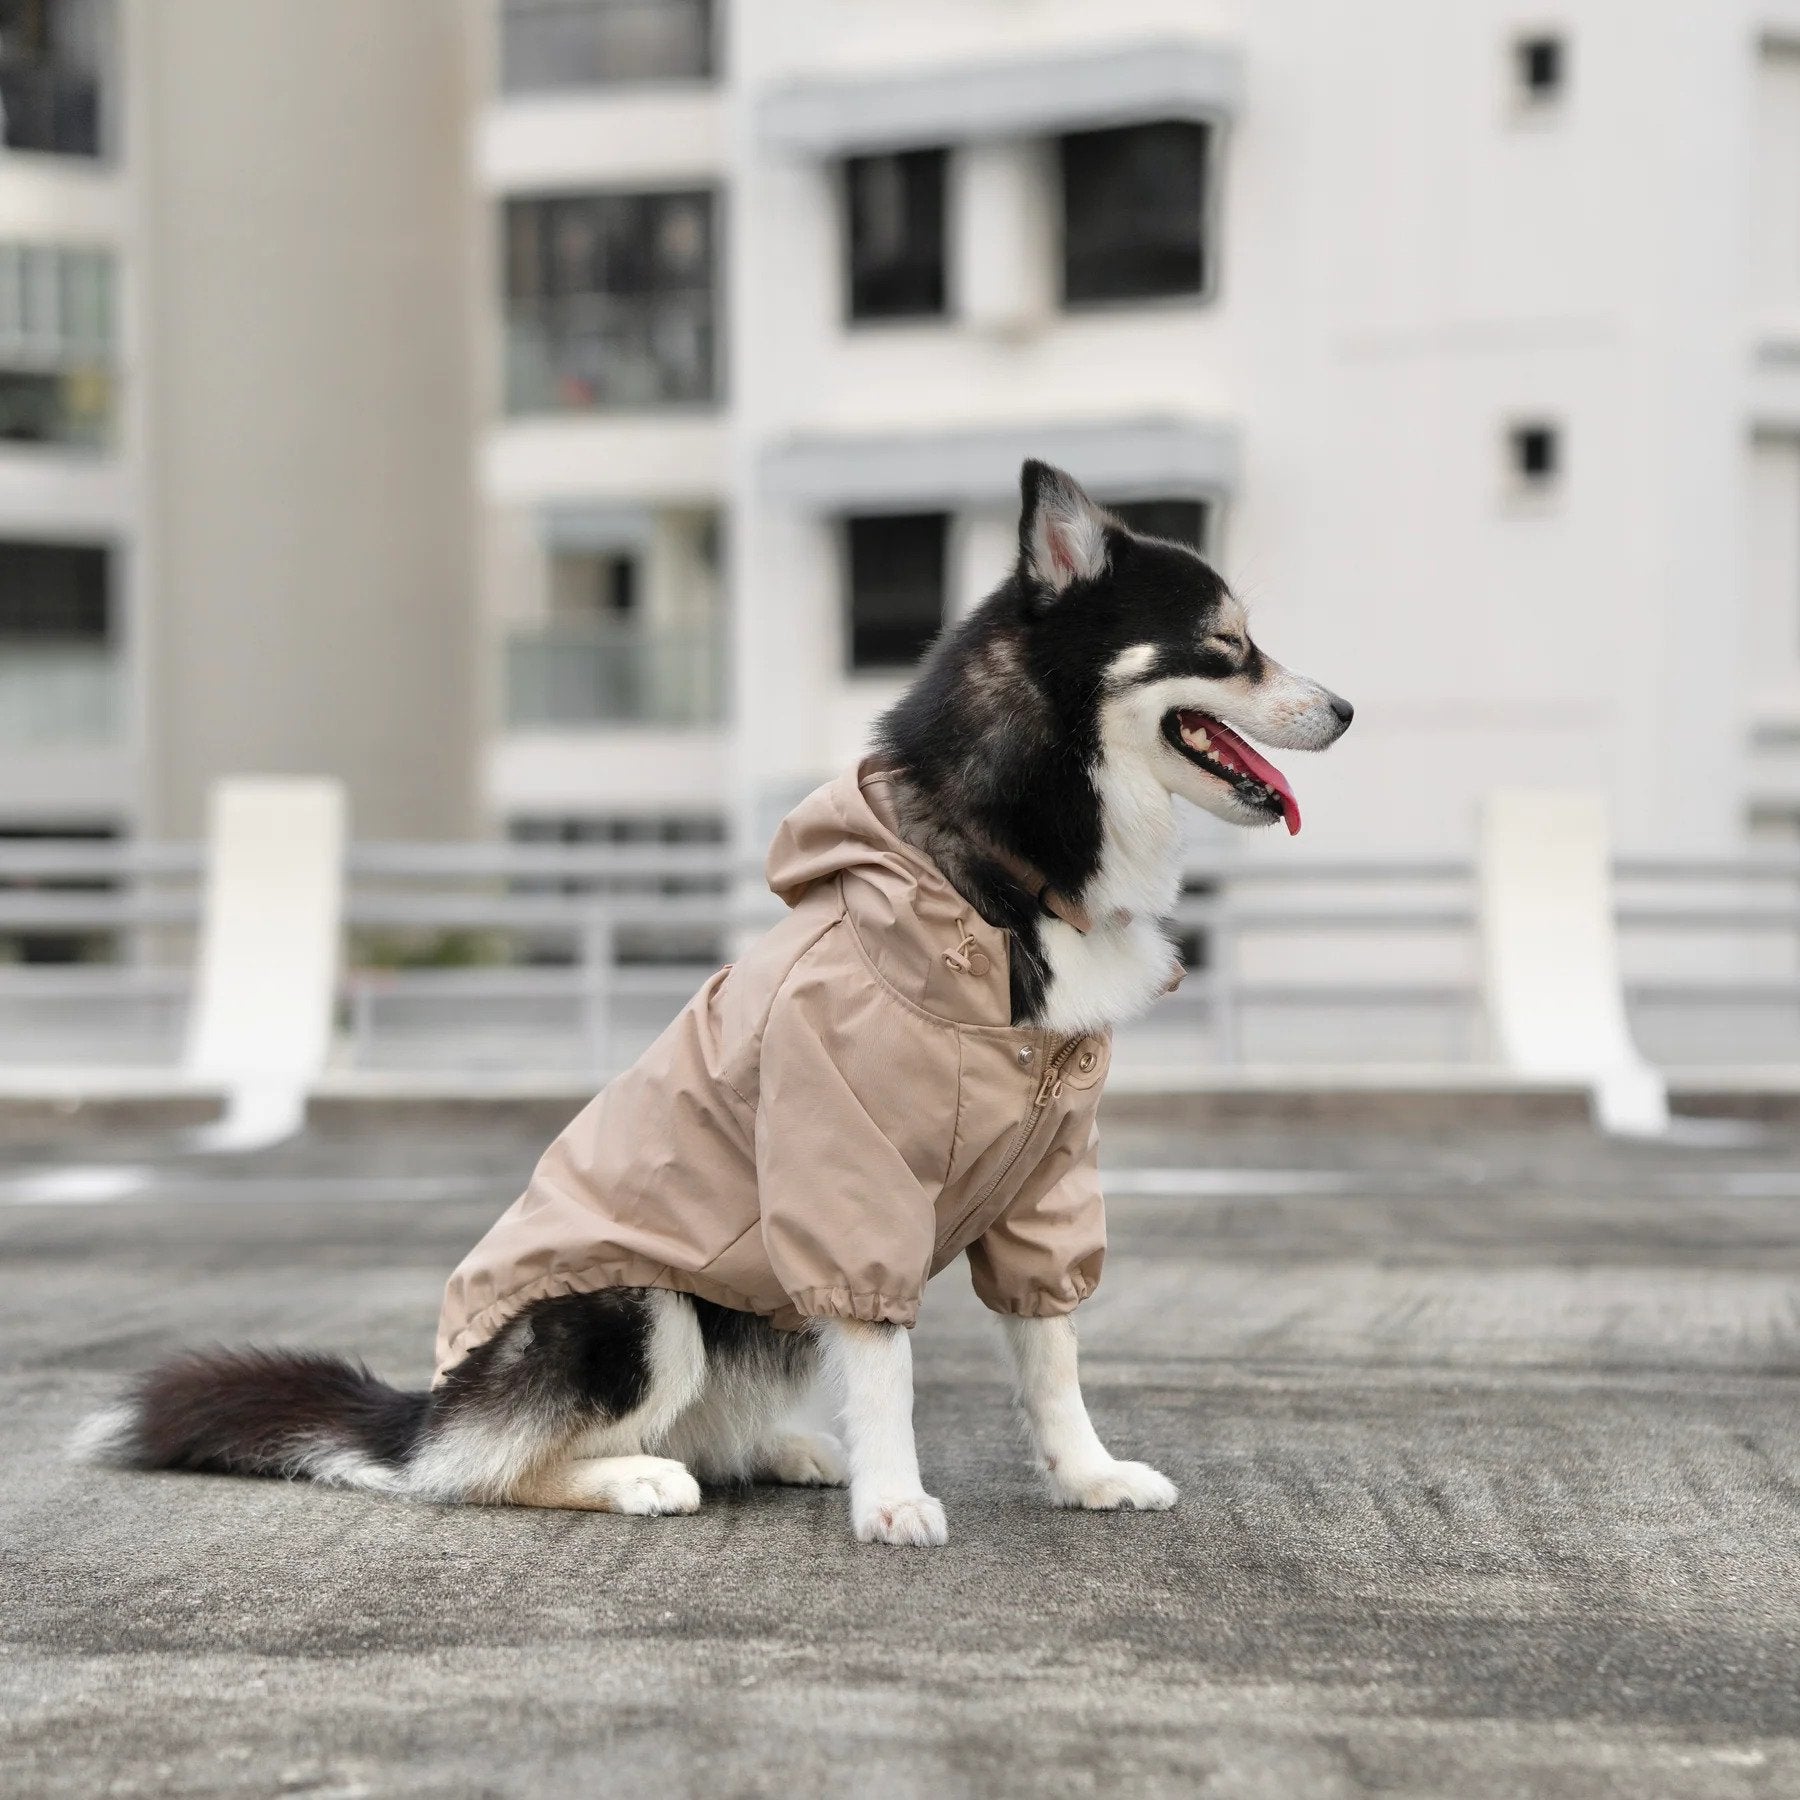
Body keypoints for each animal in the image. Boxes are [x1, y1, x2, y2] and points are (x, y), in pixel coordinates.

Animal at [70, 460, 1353, 1548]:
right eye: (1229, 647)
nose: (1344, 709)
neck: (995, 876)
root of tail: (426, 1412)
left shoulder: (1045, 1186)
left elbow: (1052, 1352)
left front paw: (1087, 1476)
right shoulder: (846, 1170)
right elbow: (886, 1359)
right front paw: (896, 1502)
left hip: (753, 1323)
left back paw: (779, 1450)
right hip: (635, 1308)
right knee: (493, 1472)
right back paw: (636, 1477)